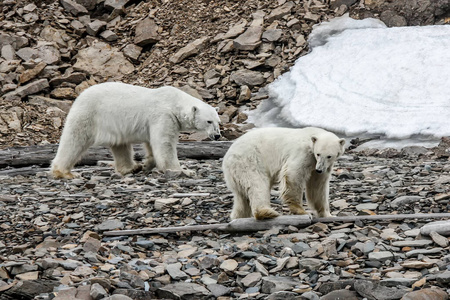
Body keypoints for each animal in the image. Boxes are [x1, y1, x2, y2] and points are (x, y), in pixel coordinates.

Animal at [51, 81, 221, 178]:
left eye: (218, 122)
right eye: (209, 121)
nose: (217, 135)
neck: (174, 103)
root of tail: (80, 95)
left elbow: (152, 144)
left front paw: (147, 164)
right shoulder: (163, 116)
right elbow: (164, 144)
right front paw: (183, 171)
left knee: (120, 145)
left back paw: (131, 168)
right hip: (89, 113)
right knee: (74, 139)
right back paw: (64, 173)